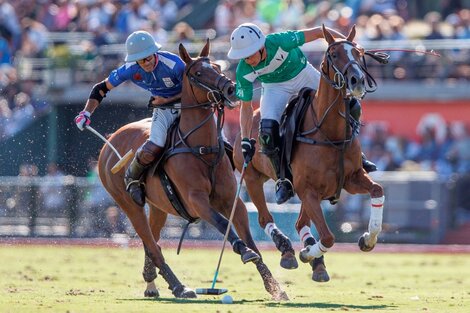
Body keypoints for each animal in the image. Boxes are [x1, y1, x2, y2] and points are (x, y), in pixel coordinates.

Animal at [98, 39, 286, 300]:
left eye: (217, 66)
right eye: (197, 73)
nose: (230, 89)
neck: (202, 147)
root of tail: (109, 142)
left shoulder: (232, 200)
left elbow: (248, 237)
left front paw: (274, 287)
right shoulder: (196, 199)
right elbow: (222, 224)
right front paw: (244, 251)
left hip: (159, 207)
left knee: (152, 241)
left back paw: (152, 283)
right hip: (128, 204)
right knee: (151, 243)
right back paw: (179, 286)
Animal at [233, 24, 384, 278]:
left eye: (358, 52)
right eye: (333, 55)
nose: (357, 81)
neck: (330, 133)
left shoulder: (350, 179)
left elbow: (377, 191)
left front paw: (367, 239)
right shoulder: (308, 190)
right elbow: (329, 237)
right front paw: (306, 253)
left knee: (299, 223)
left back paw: (316, 262)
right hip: (253, 179)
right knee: (265, 218)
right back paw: (289, 251)